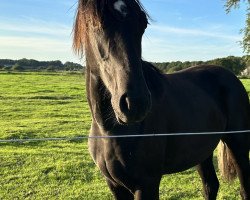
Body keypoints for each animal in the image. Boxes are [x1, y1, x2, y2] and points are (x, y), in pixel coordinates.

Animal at [73, 0, 250, 199]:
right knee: (210, 185)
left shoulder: (146, 184)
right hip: (202, 151)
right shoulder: (114, 185)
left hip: (239, 145)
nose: (135, 103)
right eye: (95, 23)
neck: (111, 130)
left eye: (142, 24)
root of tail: (230, 76)